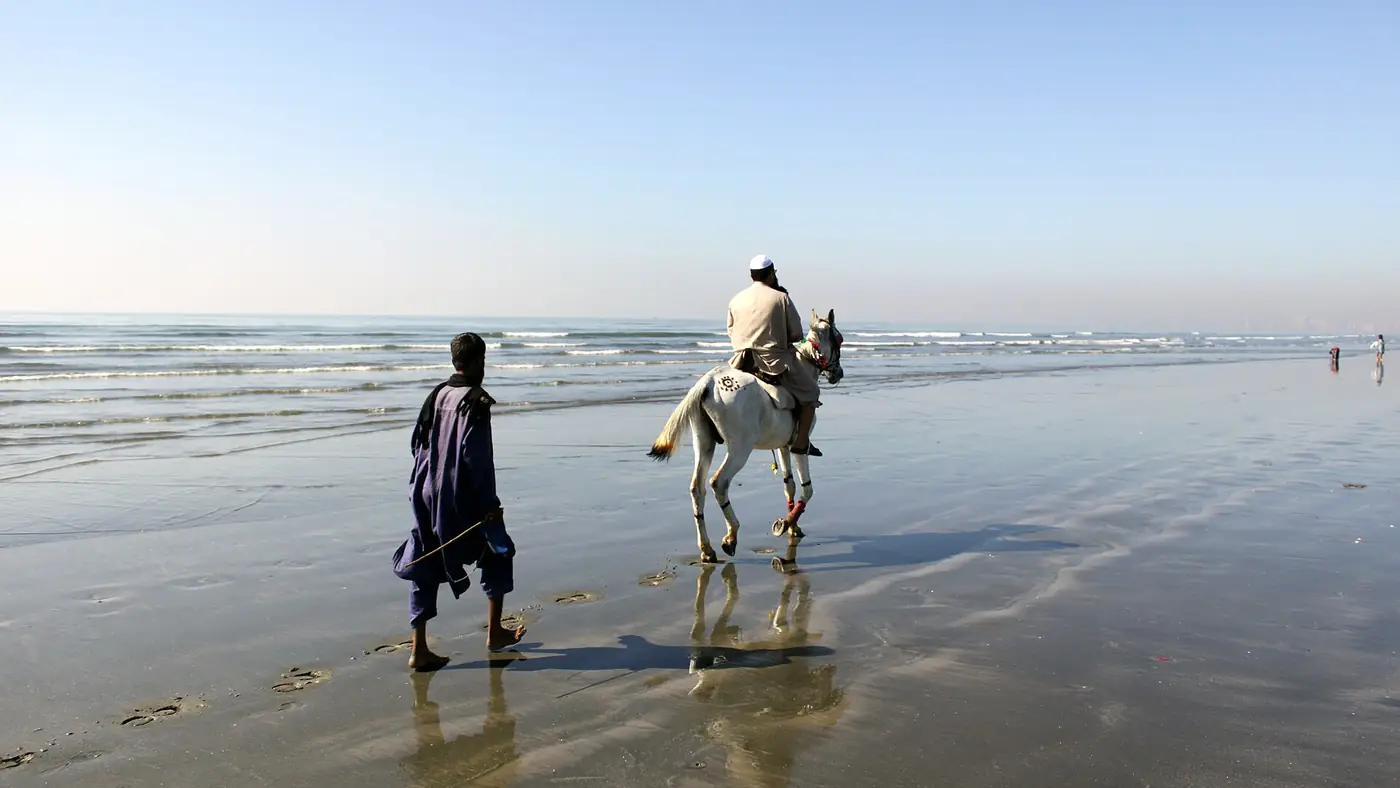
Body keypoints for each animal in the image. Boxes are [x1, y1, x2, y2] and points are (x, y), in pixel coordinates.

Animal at [647, 310, 844, 563]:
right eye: (839, 339)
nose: (838, 373)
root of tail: (708, 383)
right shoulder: (798, 446)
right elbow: (807, 489)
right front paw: (787, 523)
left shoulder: (783, 446)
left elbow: (789, 485)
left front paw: (792, 526)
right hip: (740, 449)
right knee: (719, 483)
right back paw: (731, 537)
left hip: (704, 442)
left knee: (697, 488)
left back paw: (707, 549)